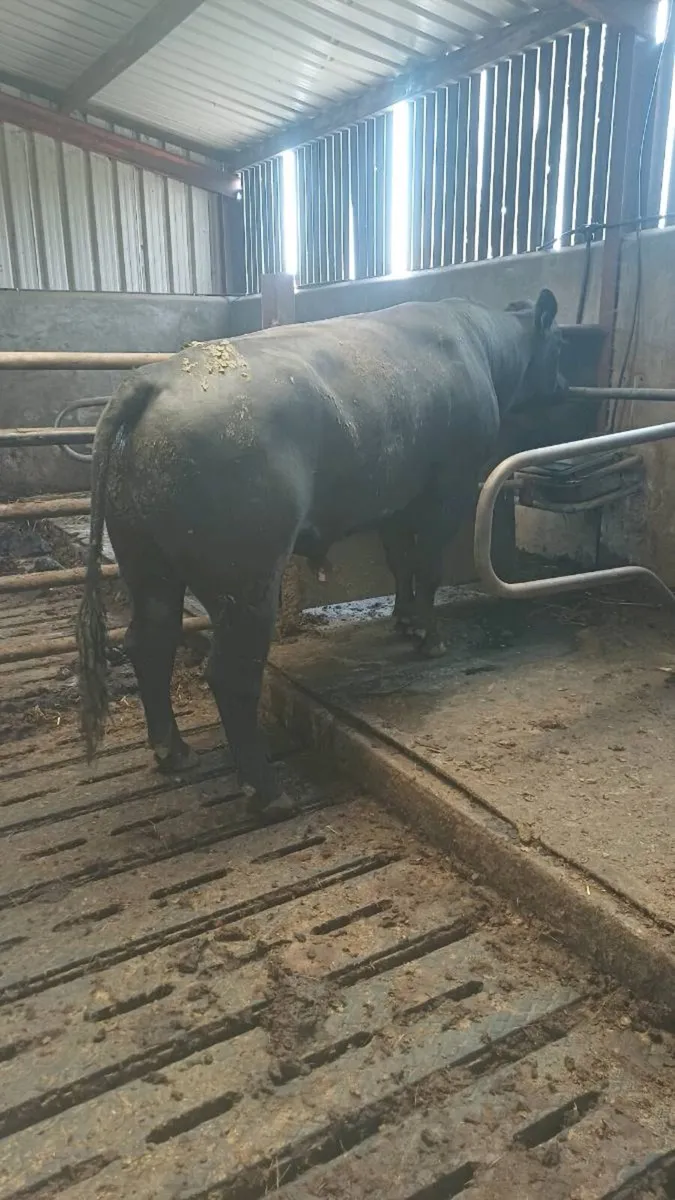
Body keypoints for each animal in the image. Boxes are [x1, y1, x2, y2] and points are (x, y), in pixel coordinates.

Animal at [76, 289, 565, 816]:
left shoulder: (396, 498)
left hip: (144, 559)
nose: (565, 384)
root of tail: (152, 380)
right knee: (229, 673)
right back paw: (270, 793)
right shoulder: (448, 486)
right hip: (245, 576)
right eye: (559, 342)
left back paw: (175, 752)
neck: (481, 345)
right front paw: (429, 637)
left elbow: (401, 562)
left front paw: (403, 620)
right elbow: (429, 566)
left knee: (149, 641)